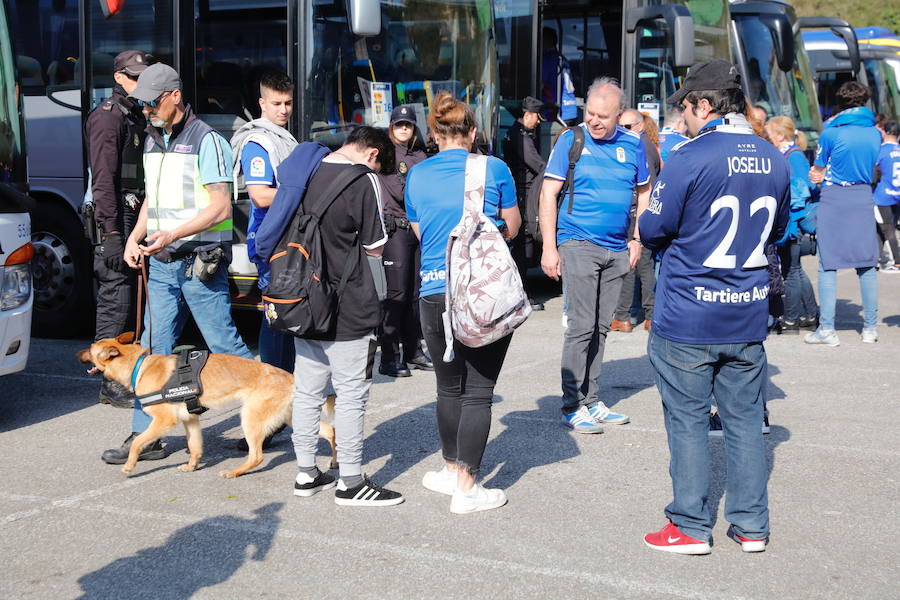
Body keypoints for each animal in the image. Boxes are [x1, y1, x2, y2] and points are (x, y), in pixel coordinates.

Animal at [77, 332, 336, 478]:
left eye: (90, 348)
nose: (78, 353)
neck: (139, 365)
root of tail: (291, 377)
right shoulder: (190, 420)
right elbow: (195, 446)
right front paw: (192, 466)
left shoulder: (164, 421)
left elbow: (138, 442)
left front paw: (129, 465)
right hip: (292, 418)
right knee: (330, 431)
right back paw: (335, 461)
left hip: (250, 419)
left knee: (257, 456)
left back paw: (234, 472)